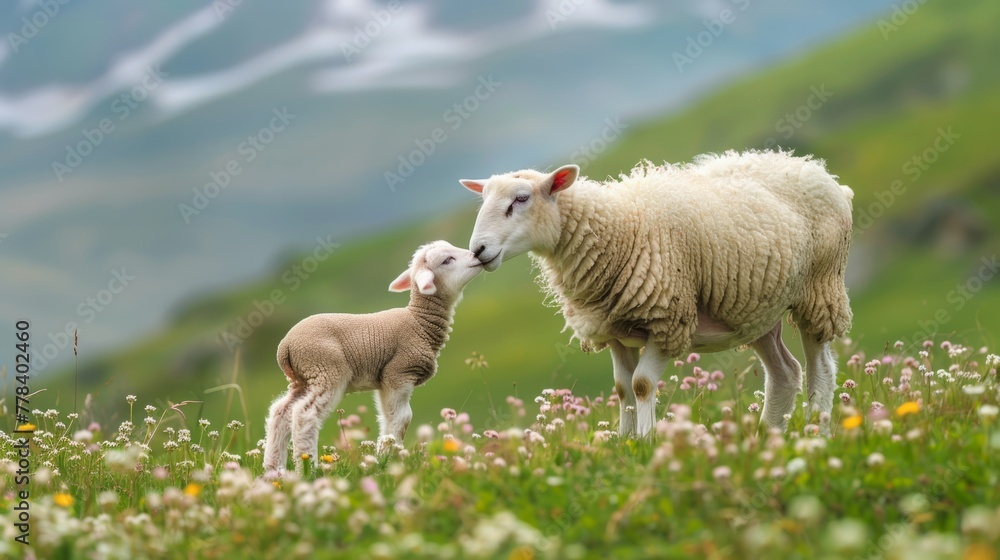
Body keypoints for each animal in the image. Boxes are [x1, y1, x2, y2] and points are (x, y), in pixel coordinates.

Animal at [263, 240, 482, 475]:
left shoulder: (385, 380)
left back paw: (273, 468)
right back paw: (308, 468)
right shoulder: (400, 372)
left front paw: (385, 454)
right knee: (304, 415)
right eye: (447, 260)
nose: (477, 255)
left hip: (302, 379)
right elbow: (403, 418)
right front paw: (389, 457)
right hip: (325, 370)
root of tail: (285, 346)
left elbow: (388, 417)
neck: (419, 322)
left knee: (280, 413)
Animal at [460, 151, 853, 437]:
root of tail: (813, 168)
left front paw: (647, 442)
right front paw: (624, 442)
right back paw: (768, 436)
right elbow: (622, 389)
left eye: (521, 199)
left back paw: (816, 432)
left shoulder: (668, 319)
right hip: (755, 310)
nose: (478, 250)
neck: (619, 228)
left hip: (820, 288)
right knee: (785, 373)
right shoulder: (613, 331)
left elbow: (642, 384)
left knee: (820, 368)